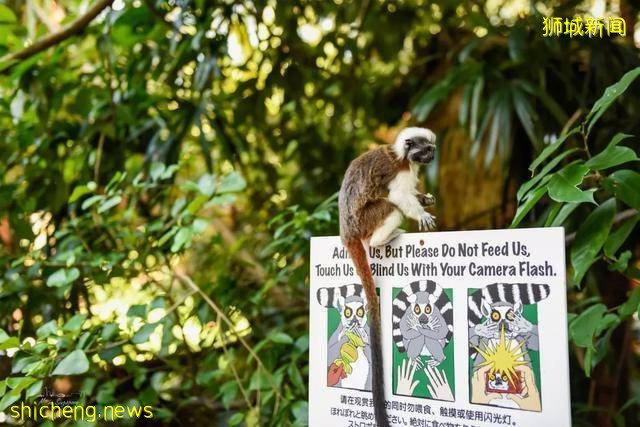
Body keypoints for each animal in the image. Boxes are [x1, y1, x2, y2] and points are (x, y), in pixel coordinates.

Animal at [338, 128, 438, 427]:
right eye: (426, 150)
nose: (432, 157)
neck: (403, 156)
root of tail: (347, 230)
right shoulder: (400, 170)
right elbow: (400, 196)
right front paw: (421, 212)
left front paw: (425, 199)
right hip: (365, 219)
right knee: (390, 207)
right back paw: (380, 239)